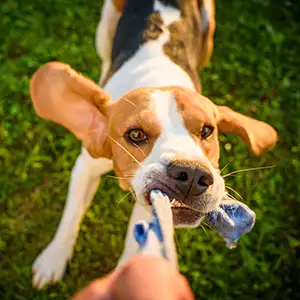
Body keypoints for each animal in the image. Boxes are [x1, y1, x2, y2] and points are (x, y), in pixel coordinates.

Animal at [29, 0, 278, 290]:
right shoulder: (86, 166)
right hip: (105, 24)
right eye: (136, 135)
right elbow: (70, 216)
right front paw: (52, 260)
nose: (191, 174)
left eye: (207, 130)